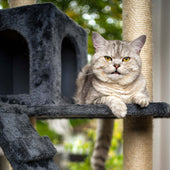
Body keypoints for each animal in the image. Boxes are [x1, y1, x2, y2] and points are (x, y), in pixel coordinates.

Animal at [75, 32, 149, 170]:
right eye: (108, 58)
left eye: (126, 59)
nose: (116, 65)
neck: (119, 86)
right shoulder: (91, 100)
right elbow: (111, 97)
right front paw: (120, 108)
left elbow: (138, 94)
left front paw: (141, 99)